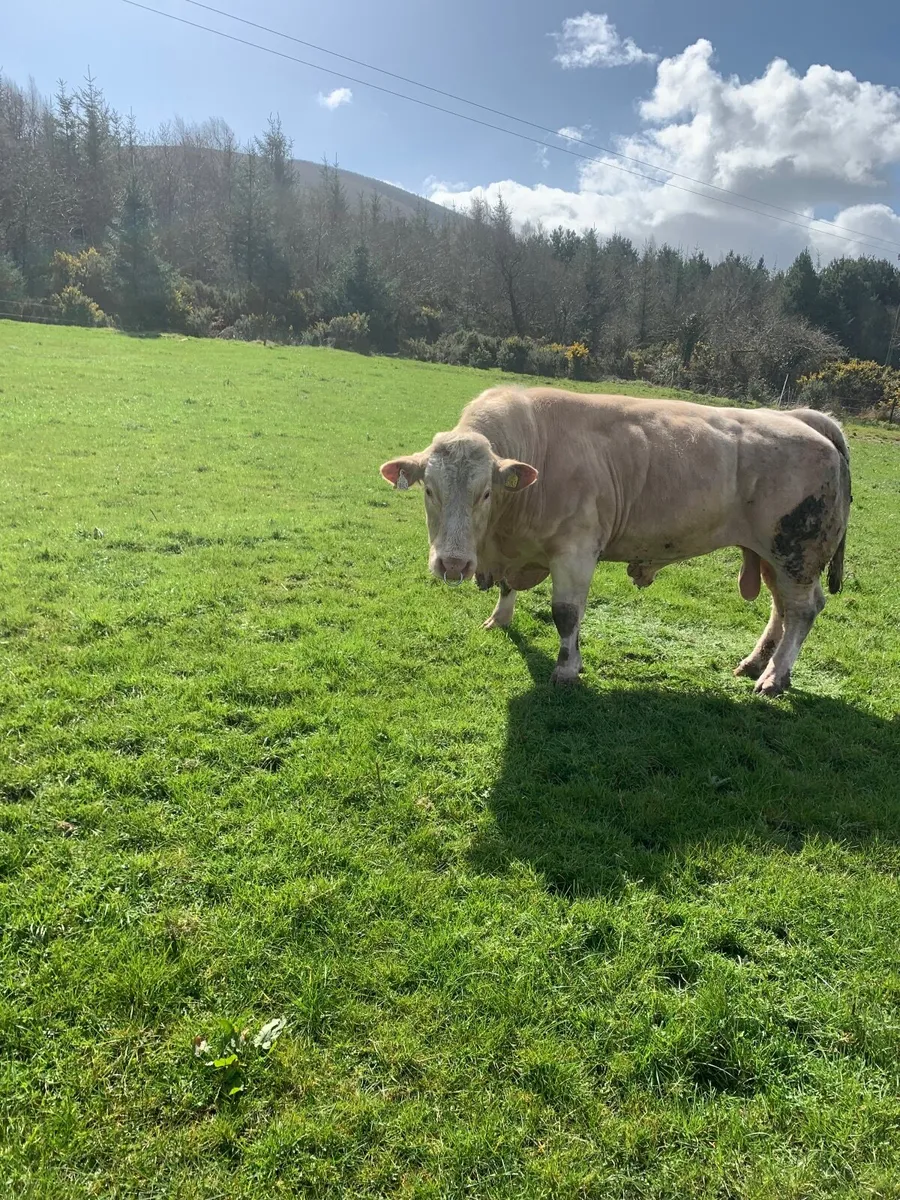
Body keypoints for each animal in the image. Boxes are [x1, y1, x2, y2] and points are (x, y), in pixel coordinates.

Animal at [380, 386, 851, 697]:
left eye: (485, 493)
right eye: (429, 490)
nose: (453, 564)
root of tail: (799, 417)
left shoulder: (575, 549)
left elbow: (566, 614)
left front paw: (567, 668)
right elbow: (509, 588)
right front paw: (500, 618)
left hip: (796, 553)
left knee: (803, 610)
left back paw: (775, 676)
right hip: (769, 554)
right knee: (781, 609)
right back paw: (755, 663)